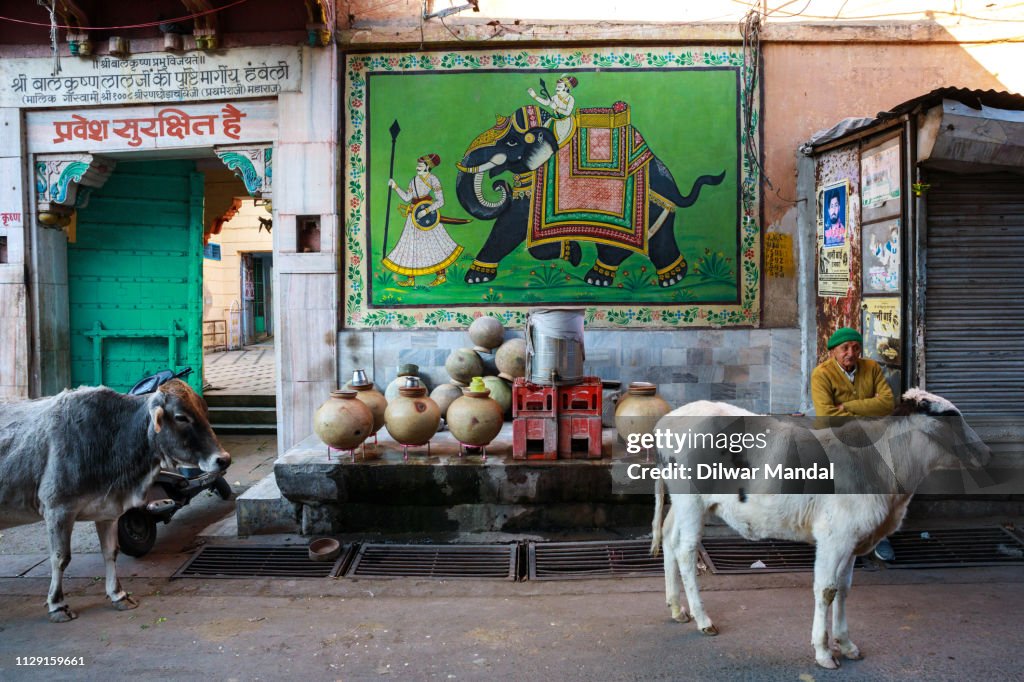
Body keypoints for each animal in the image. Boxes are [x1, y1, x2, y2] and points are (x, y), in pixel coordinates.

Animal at [0, 378, 228, 618]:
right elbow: (60, 558)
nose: (223, 459)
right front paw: (57, 604)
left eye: (204, 410)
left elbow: (110, 552)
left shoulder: (107, 510)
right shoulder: (57, 509)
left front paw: (118, 595)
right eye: (181, 417)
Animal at [456, 104, 729, 286]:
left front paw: (474, 278)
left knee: (627, 245)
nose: (500, 185)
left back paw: (604, 279)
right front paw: (572, 252)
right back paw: (667, 278)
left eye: (511, 143)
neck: (551, 125)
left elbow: (510, 226)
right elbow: (515, 229)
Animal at [651, 391, 995, 667]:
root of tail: (668, 420)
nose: (986, 454)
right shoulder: (834, 536)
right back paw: (702, 619)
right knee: (685, 551)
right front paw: (823, 651)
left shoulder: (854, 538)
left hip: (681, 501)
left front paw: (846, 644)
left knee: (668, 537)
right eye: (951, 415)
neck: (882, 467)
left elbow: (844, 589)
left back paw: (676, 608)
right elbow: (827, 590)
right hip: (692, 500)